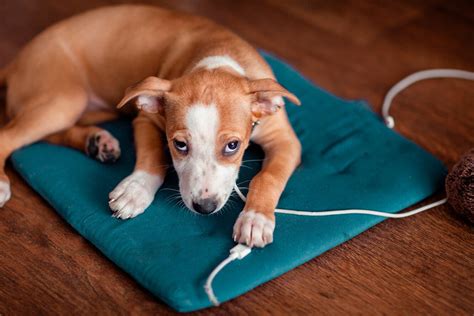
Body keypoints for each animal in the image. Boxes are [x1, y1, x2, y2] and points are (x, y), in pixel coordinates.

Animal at [0, 3, 302, 248]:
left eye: (232, 146)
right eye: (179, 145)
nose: (204, 207)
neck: (218, 57)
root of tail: (16, 62)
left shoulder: (286, 141)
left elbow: (268, 177)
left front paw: (255, 219)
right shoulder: (145, 119)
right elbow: (153, 156)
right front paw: (136, 190)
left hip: (90, 109)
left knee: (49, 134)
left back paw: (96, 142)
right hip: (65, 99)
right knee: (9, 136)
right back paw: (3, 184)